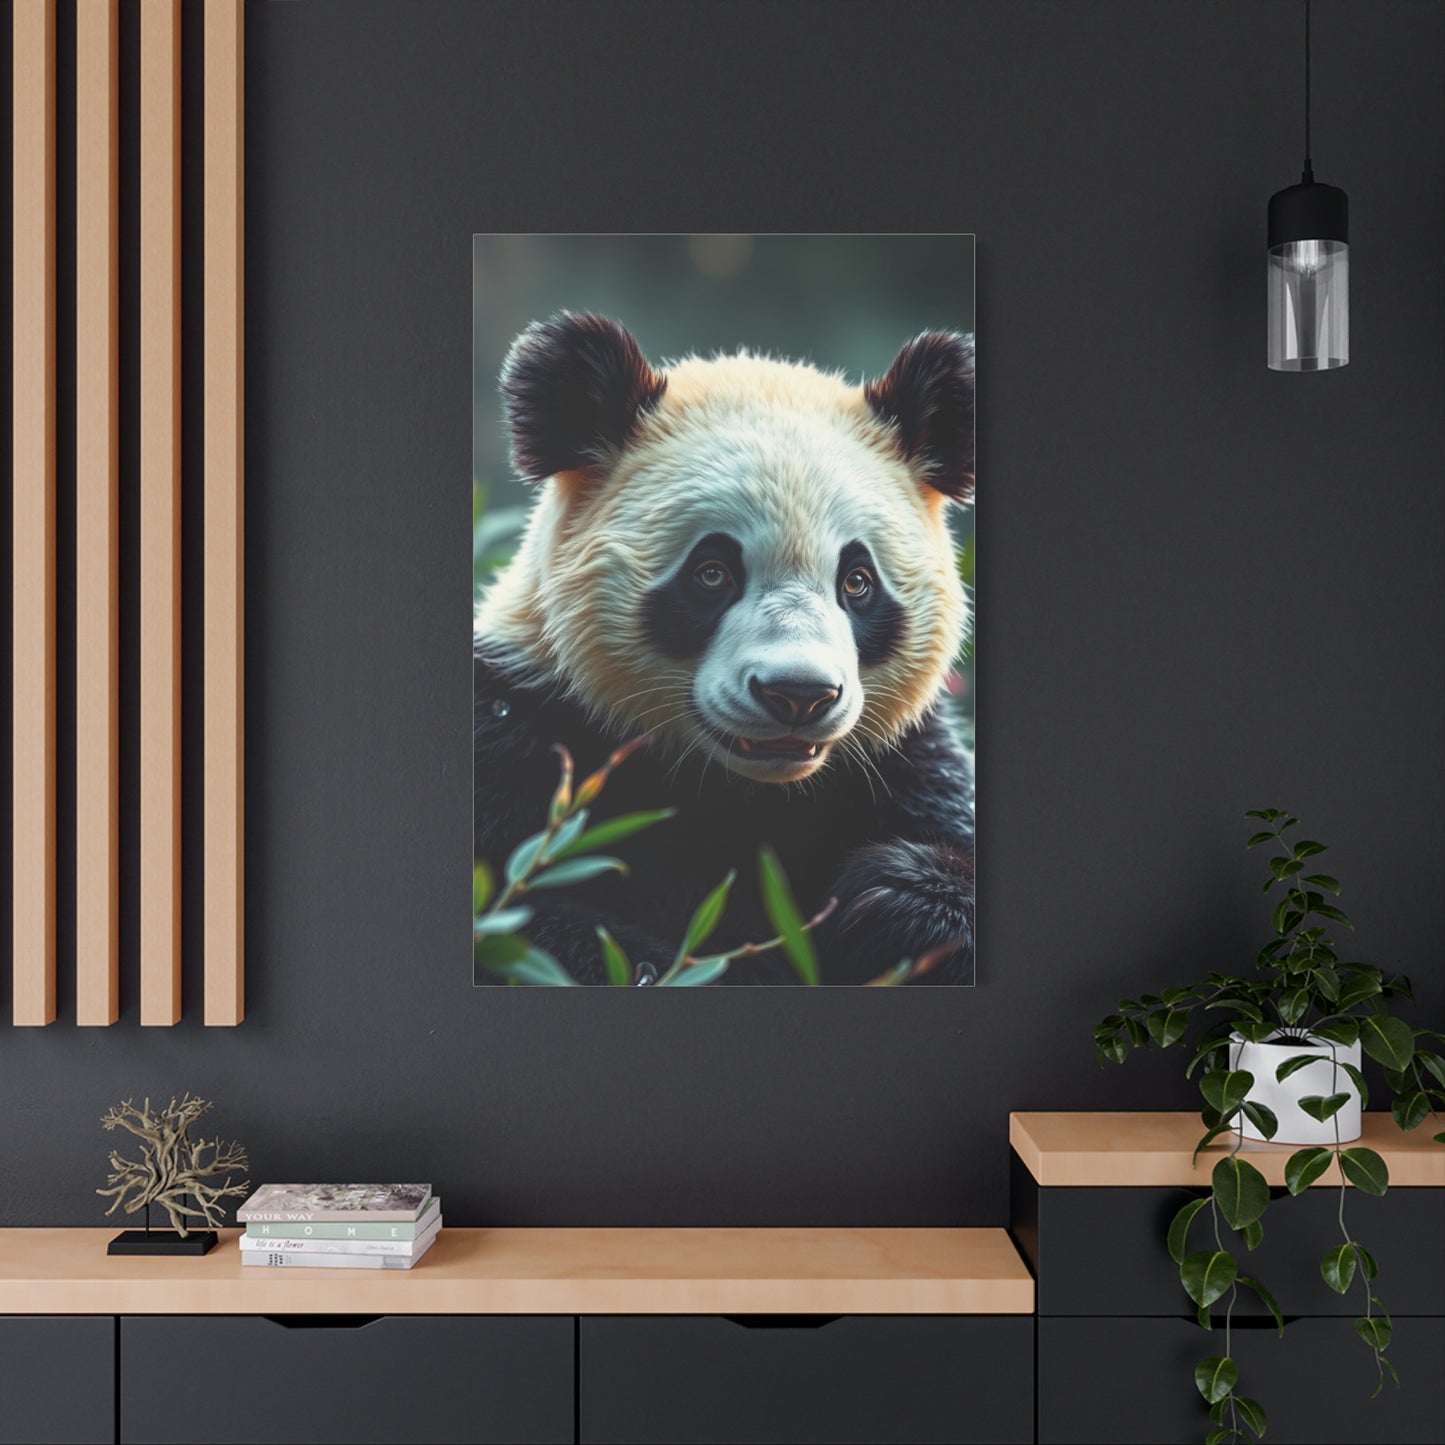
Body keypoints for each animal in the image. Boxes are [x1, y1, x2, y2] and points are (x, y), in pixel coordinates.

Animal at [474, 312, 975, 985]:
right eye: (712, 573)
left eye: (856, 581)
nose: (798, 694)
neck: (742, 789)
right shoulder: (519, 733)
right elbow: (530, 926)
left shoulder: (904, 765)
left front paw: (896, 903)